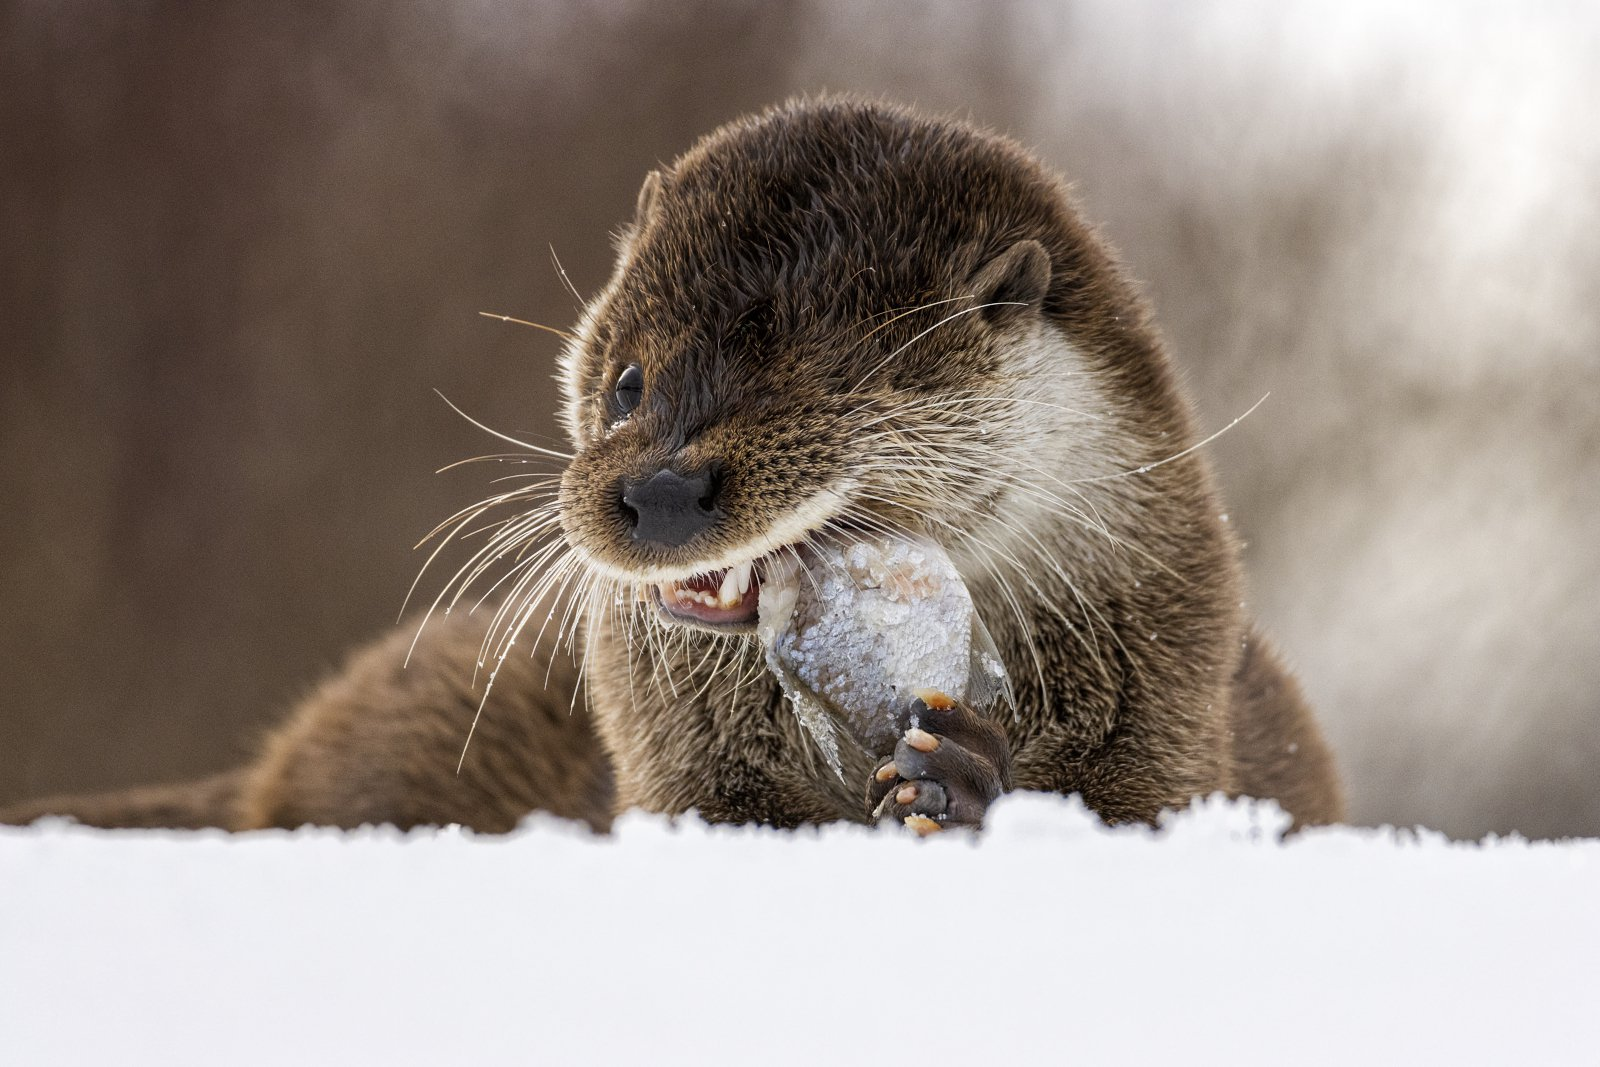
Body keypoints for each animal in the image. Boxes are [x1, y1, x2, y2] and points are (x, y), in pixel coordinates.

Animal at [0, 99, 1350, 831]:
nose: (652, 489)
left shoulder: (1174, 717)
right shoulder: (675, 773)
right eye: (628, 383)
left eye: (820, 386)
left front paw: (967, 780)